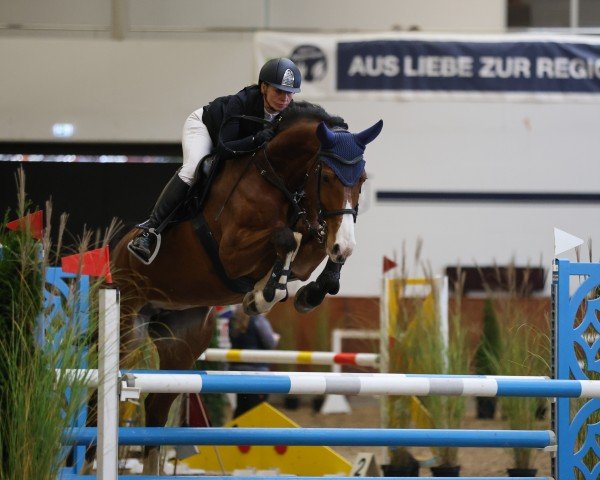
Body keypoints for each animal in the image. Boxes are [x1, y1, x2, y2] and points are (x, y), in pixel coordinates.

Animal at [109, 101, 382, 472]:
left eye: (362, 180)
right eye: (326, 177)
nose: (345, 245)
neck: (277, 178)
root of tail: (116, 253)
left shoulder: (311, 237)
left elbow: (308, 245)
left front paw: (305, 292)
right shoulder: (231, 252)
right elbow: (287, 238)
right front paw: (262, 295)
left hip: (181, 340)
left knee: (155, 407)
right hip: (129, 325)